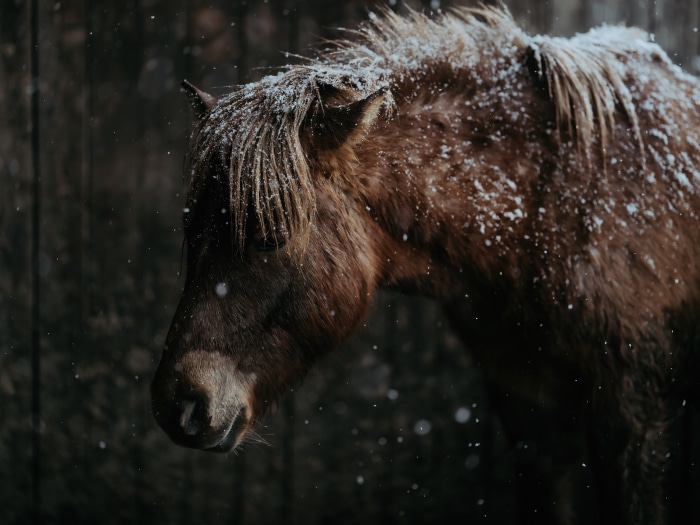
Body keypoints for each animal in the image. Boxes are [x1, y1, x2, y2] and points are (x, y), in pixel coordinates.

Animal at [151, 7, 700, 525]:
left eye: (270, 238)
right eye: (192, 232)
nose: (176, 405)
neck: (556, 206)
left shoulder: (630, 411)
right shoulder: (526, 405)